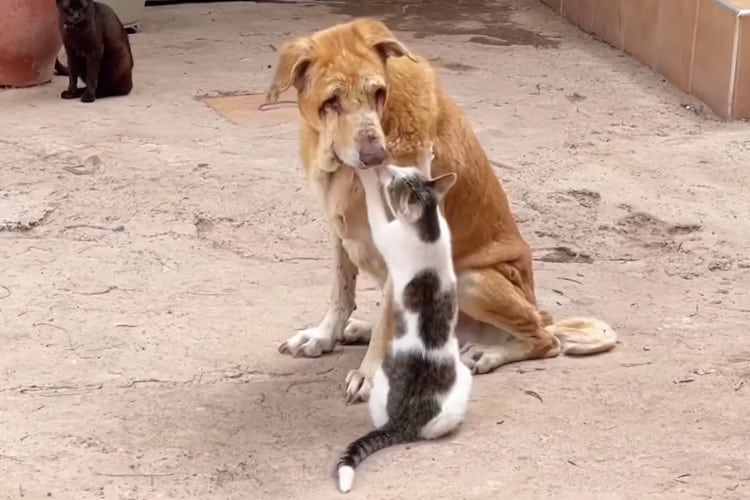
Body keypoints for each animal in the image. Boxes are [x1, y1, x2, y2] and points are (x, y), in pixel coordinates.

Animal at [264, 17, 616, 404]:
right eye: (331, 101)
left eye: (378, 93)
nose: (375, 156)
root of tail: (541, 310)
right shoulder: (339, 230)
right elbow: (341, 292)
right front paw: (324, 335)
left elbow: (383, 322)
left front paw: (369, 375)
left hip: (471, 280)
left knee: (545, 339)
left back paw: (488, 353)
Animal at [338, 148, 472, 492]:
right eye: (405, 174)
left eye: (396, 183)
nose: (387, 168)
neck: (427, 228)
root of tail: (405, 418)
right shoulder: (443, 223)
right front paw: (427, 158)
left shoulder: (386, 233)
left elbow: (375, 209)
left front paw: (367, 177)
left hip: (381, 391)